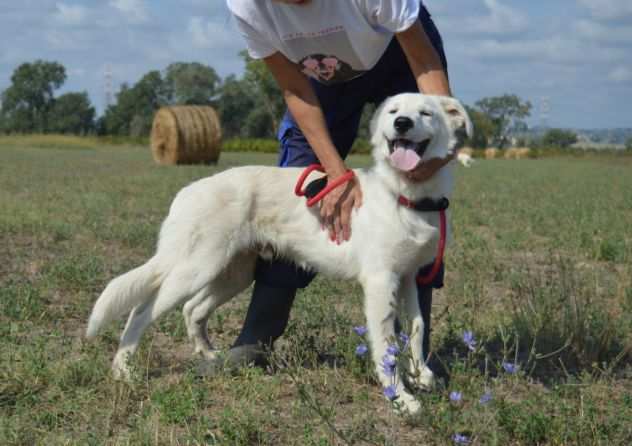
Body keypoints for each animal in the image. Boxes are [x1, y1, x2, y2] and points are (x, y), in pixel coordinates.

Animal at [85, 93, 470, 414]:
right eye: (393, 112)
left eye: (426, 113)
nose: (402, 123)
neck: (405, 195)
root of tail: (188, 190)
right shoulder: (379, 283)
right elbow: (388, 347)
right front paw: (401, 399)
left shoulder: (409, 277)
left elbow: (417, 329)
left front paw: (422, 376)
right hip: (195, 268)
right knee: (141, 310)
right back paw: (123, 370)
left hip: (232, 272)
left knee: (192, 308)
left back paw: (210, 355)